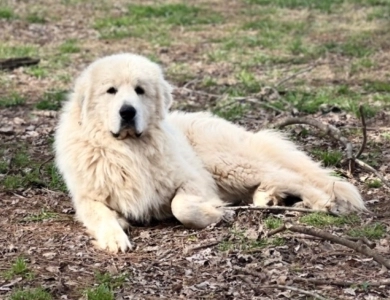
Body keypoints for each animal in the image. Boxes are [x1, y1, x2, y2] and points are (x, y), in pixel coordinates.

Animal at [54, 52, 366, 252]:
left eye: (140, 90)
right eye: (111, 91)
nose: (127, 112)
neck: (128, 150)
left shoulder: (194, 181)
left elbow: (181, 207)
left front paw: (218, 213)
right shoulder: (87, 196)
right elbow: (99, 214)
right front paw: (115, 236)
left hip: (227, 165)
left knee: (295, 177)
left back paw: (323, 202)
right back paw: (268, 198)